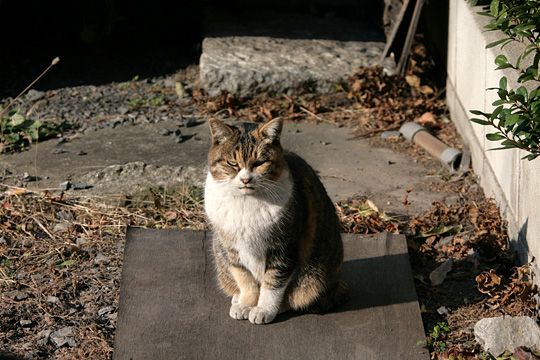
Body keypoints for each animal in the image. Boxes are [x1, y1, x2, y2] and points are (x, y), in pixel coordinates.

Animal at [202, 116, 346, 324]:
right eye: (232, 163)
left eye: (260, 162)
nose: (246, 179)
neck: (247, 203)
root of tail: (337, 286)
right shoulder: (231, 249)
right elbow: (244, 278)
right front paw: (246, 303)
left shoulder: (283, 247)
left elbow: (273, 283)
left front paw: (263, 309)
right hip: (218, 249)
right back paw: (237, 298)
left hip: (314, 275)